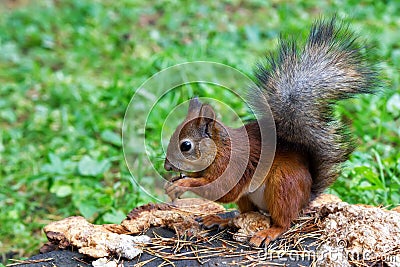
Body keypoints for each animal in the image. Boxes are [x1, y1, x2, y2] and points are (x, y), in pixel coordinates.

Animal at [162, 18, 378, 248]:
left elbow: (223, 189)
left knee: (283, 221)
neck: (220, 149)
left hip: (283, 185)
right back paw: (221, 220)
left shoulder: (234, 164)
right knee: (246, 213)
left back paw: (269, 232)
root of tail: (306, 197)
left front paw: (183, 184)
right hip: (251, 198)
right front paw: (175, 181)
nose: (167, 167)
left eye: (186, 145)